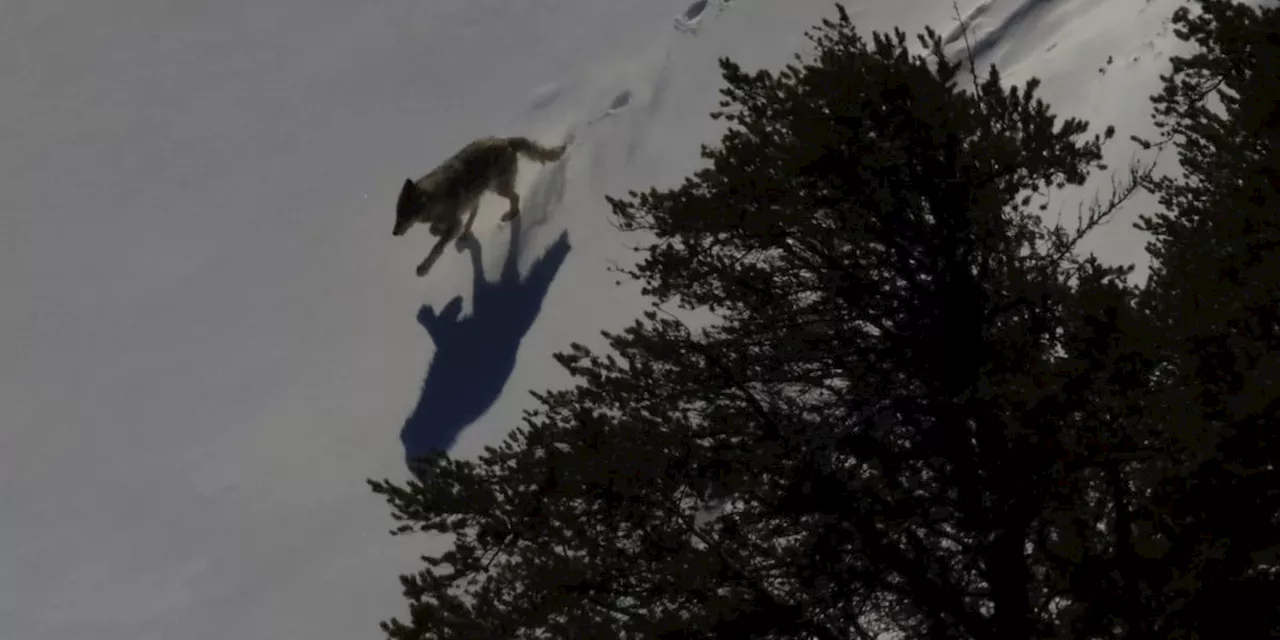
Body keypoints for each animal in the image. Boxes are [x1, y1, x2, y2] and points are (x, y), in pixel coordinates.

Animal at [394, 136, 565, 276]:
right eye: (397, 215)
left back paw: (511, 215)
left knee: (515, 197)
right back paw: (466, 234)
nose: (394, 233)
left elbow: (436, 247)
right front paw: (442, 232)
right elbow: (435, 230)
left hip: (497, 189)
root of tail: (504, 140)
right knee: (477, 210)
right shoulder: (453, 218)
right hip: (486, 192)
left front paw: (423, 268)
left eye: (402, 216)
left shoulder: (454, 222)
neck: (435, 198)